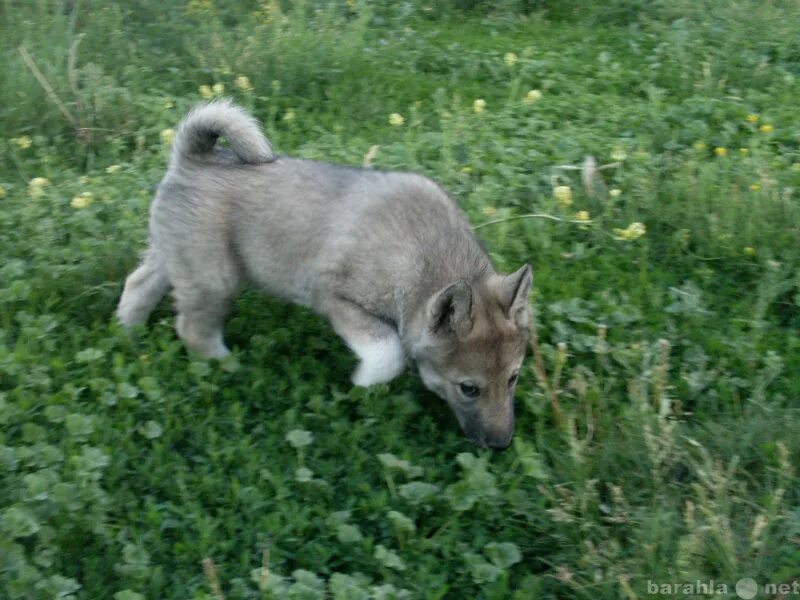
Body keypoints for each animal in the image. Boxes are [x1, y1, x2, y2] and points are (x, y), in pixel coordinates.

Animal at [117, 101, 532, 450]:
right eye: (469, 389)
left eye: (513, 378)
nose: (502, 445)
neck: (424, 258)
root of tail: (193, 157)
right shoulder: (337, 301)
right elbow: (388, 352)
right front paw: (363, 388)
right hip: (214, 279)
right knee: (194, 331)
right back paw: (230, 368)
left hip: (173, 257)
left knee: (137, 286)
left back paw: (128, 335)